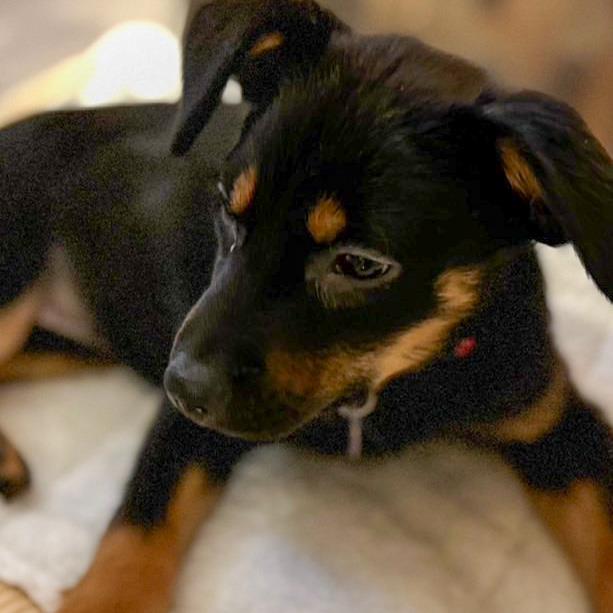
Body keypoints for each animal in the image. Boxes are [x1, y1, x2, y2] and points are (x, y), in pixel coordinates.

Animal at [0, 1, 611, 611]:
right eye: (226, 208)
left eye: (361, 264)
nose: (182, 387)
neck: (389, 383)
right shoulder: (181, 428)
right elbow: (141, 525)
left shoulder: (558, 419)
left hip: (64, 345)